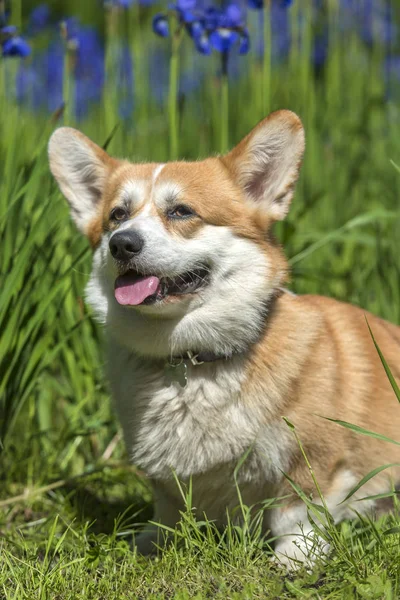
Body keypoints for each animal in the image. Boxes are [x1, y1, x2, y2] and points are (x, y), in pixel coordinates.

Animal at [48, 110, 400, 564]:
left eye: (181, 211)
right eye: (117, 216)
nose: (122, 244)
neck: (189, 359)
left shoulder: (311, 460)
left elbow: (295, 513)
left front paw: (293, 558)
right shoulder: (165, 479)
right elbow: (167, 509)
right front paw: (149, 544)